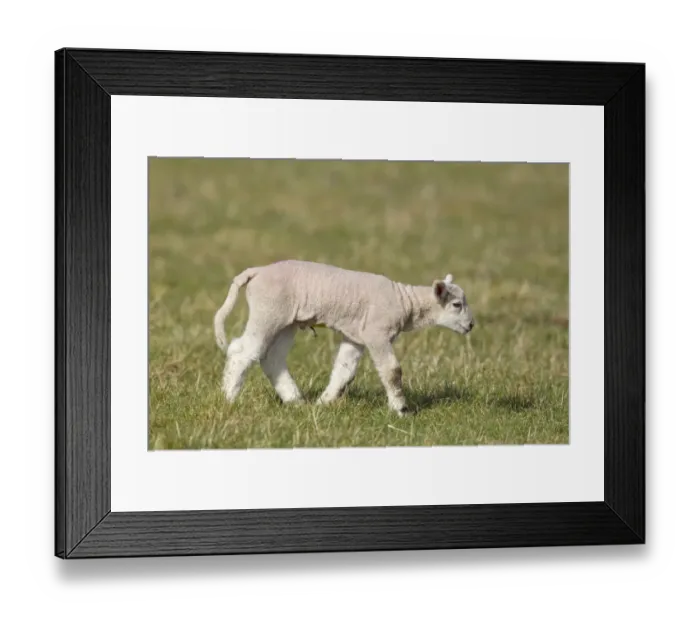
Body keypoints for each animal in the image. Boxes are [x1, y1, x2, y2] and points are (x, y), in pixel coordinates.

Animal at [213, 259, 475, 416]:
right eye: (456, 304)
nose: (471, 325)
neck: (405, 302)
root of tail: (257, 271)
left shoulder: (356, 336)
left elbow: (344, 372)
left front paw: (324, 402)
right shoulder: (376, 333)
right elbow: (392, 370)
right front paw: (401, 409)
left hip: (286, 322)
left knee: (271, 358)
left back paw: (296, 401)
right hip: (268, 312)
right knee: (241, 351)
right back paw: (229, 398)